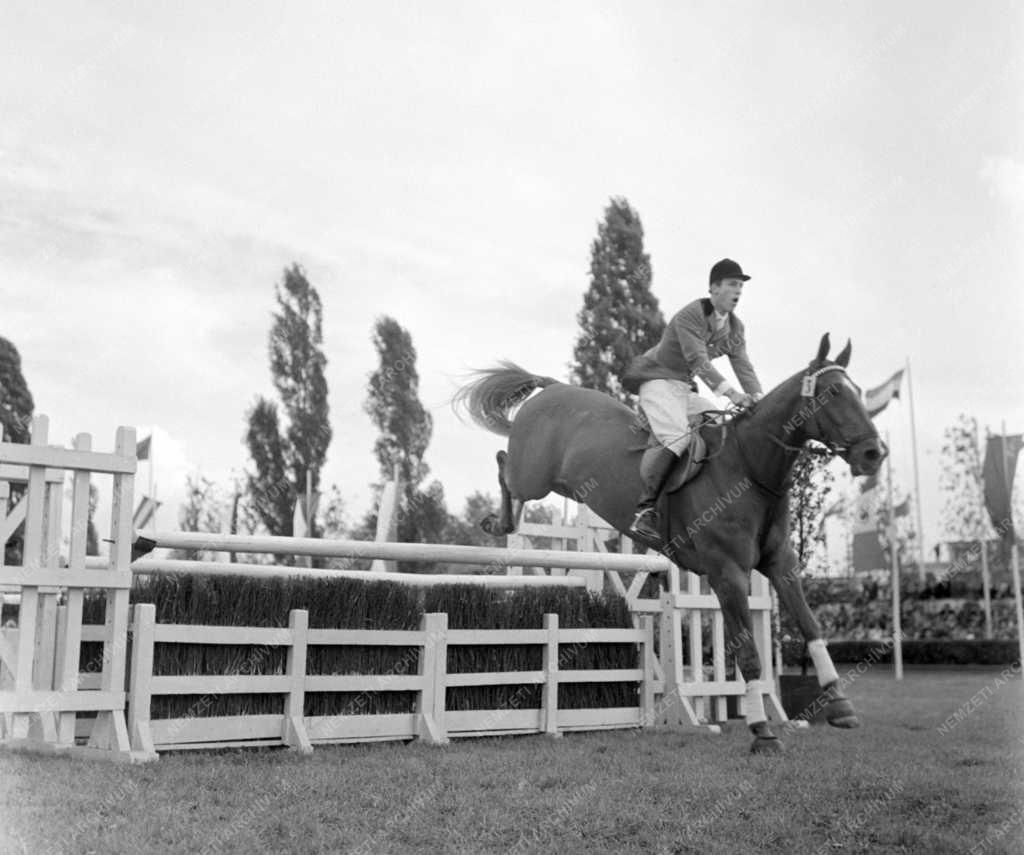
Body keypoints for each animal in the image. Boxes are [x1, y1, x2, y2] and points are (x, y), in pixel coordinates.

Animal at [456, 331, 888, 753]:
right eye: (834, 393)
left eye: (858, 392)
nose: (873, 454)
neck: (750, 466)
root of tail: (552, 388)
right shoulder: (727, 573)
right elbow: (747, 653)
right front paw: (763, 731)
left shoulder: (780, 564)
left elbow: (811, 625)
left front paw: (839, 704)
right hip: (534, 477)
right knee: (504, 466)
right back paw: (498, 521)